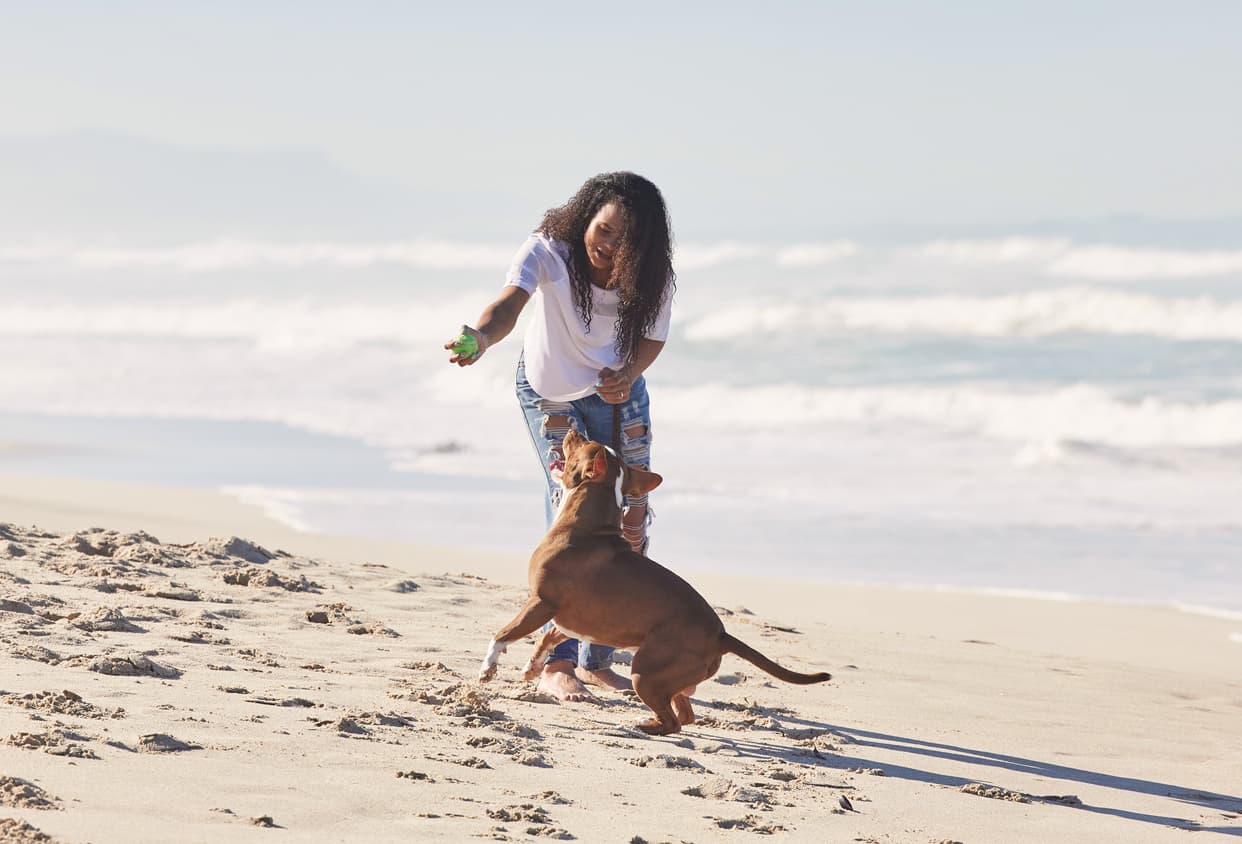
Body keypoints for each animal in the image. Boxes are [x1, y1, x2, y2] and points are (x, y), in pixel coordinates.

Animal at [479, 429, 829, 729]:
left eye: (584, 444)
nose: (574, 429)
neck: (584, 526)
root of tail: (721, 634)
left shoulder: (542, 602)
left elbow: (503, 634)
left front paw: (488, 667)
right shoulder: (573, 618)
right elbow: (548, 638)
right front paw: (532, 667)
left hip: (645, 673)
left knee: (674, 722)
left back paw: (639, 726)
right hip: (666, 676)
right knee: (685, 715)